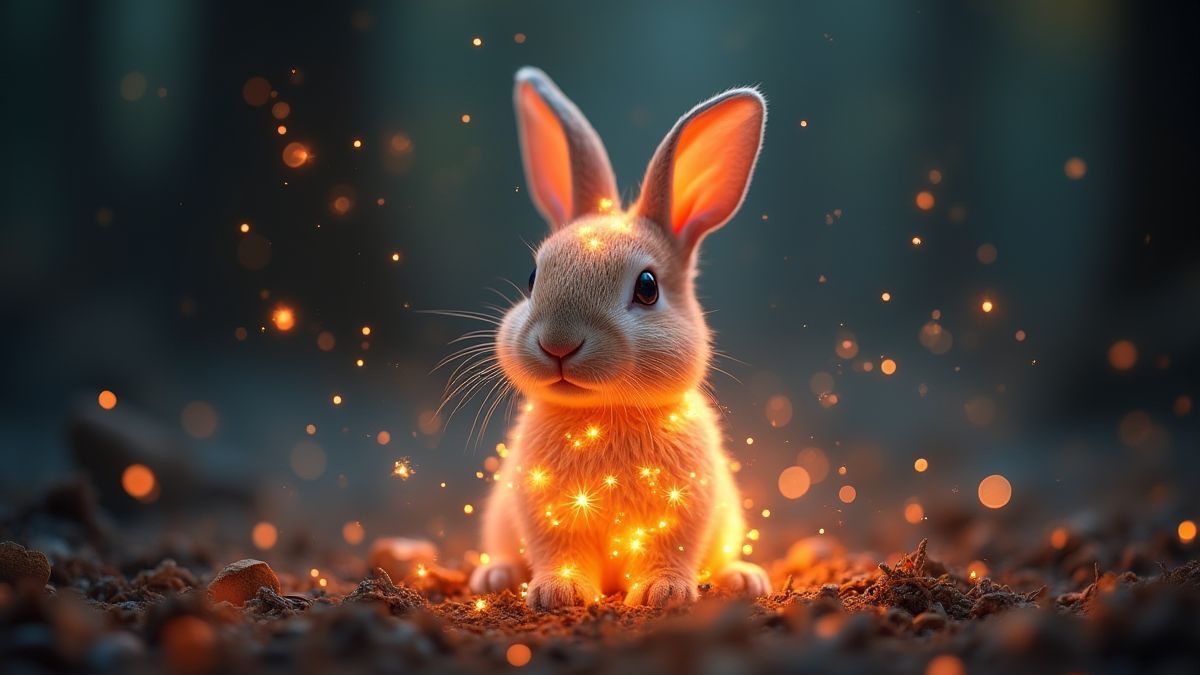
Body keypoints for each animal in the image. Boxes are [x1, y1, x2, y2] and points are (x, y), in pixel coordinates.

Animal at [466, 66, 769, 610]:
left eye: (647, 287)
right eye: (532, 278)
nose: (558, 344)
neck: (603, 415)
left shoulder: (685, 509)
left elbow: (670, 548)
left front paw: (663, 592)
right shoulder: (543, 511)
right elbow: (558, 549)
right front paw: (559, 592)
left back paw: (743, 578)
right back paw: (494, 576)